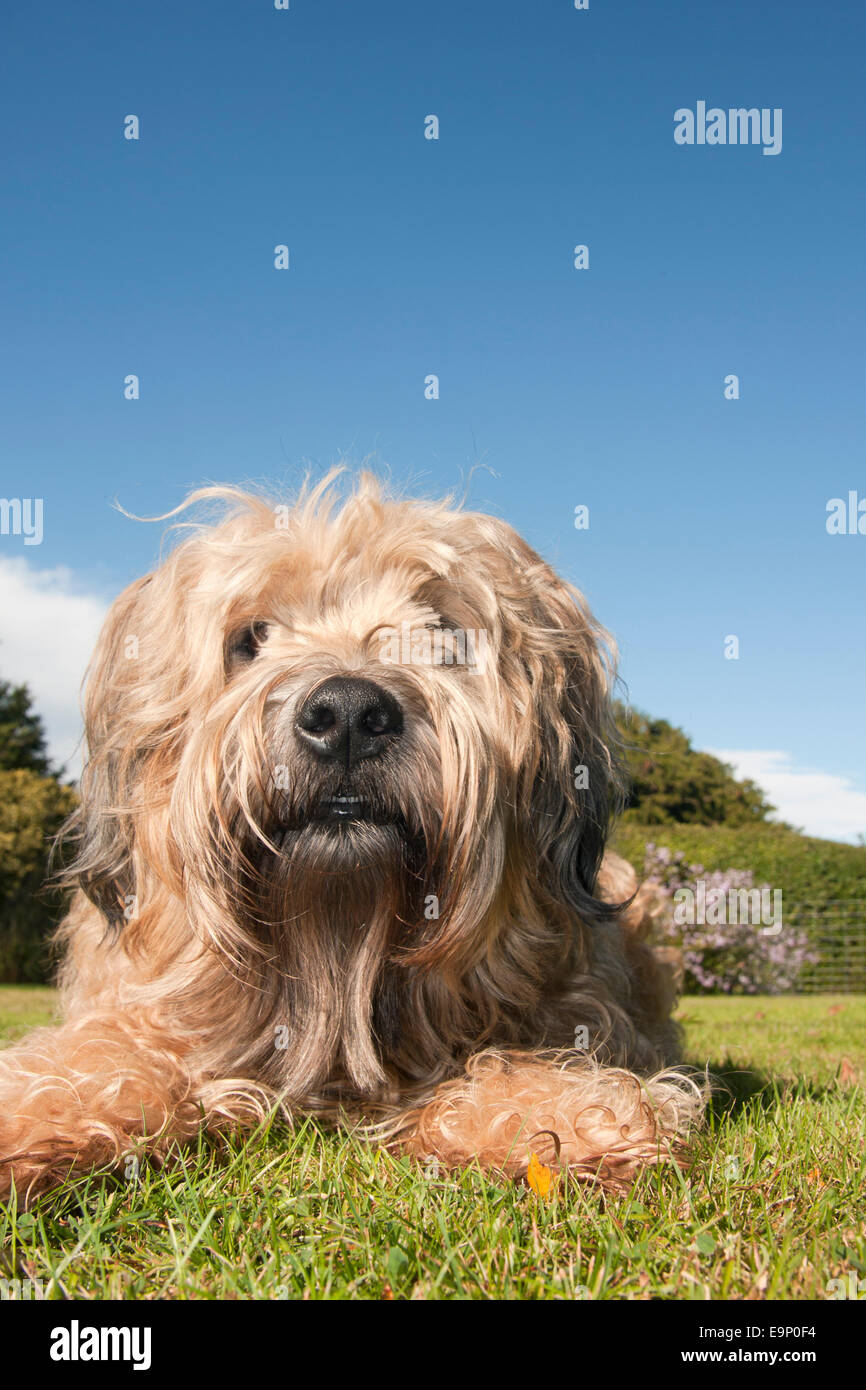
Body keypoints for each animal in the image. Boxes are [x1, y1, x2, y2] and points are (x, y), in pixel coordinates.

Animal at [0, 472, 706, 1200]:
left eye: (444, 634)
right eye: (252, 636)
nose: (346, 714)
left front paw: (559, 1108)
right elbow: (106, 1050)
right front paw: (32, 1108)